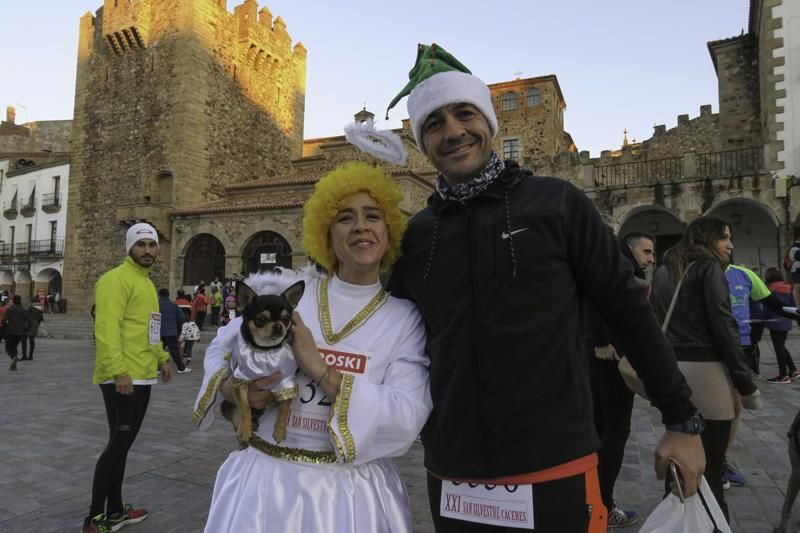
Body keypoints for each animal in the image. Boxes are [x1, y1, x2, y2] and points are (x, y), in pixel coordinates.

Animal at [220, 276, 304, 442]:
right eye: (261, 319)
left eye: (286, 319)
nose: (278, 326)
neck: (266, 351)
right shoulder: (241, 380)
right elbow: (245, 407)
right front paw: (244, 430)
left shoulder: (286, 382)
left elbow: (284, 409)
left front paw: (280, 430)